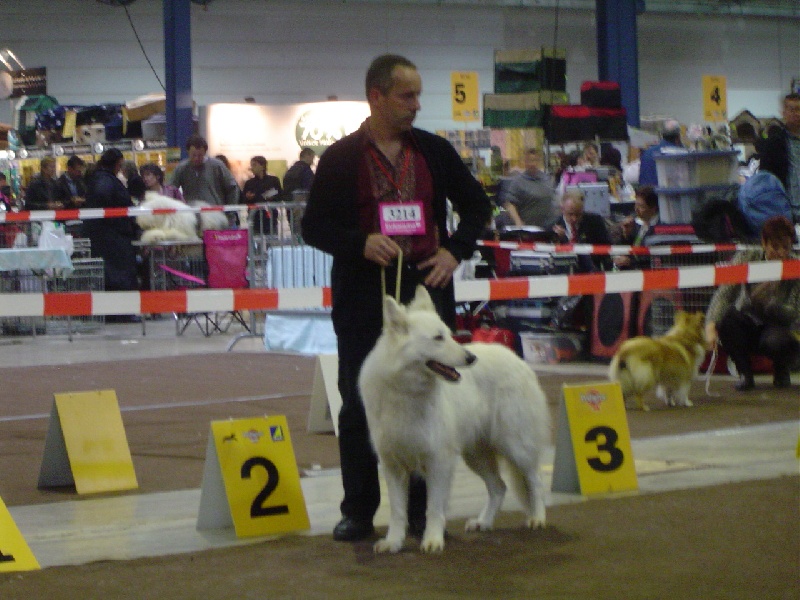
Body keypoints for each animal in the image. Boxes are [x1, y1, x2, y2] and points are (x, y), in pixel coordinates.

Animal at [358, 286, 551, 554]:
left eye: (449, 335)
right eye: (438, 338)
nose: (471, 358)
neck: (406, 390)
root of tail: (517, 359)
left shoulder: (439, 461)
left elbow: (433, 508)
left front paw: (432, 539)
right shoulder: (392, 466)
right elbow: (397, 511)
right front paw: (393, 542)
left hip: (516, 445)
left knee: (535, 480)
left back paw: (537, 518)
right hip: (476, 455)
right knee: (499, 487)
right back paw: (483, 522)